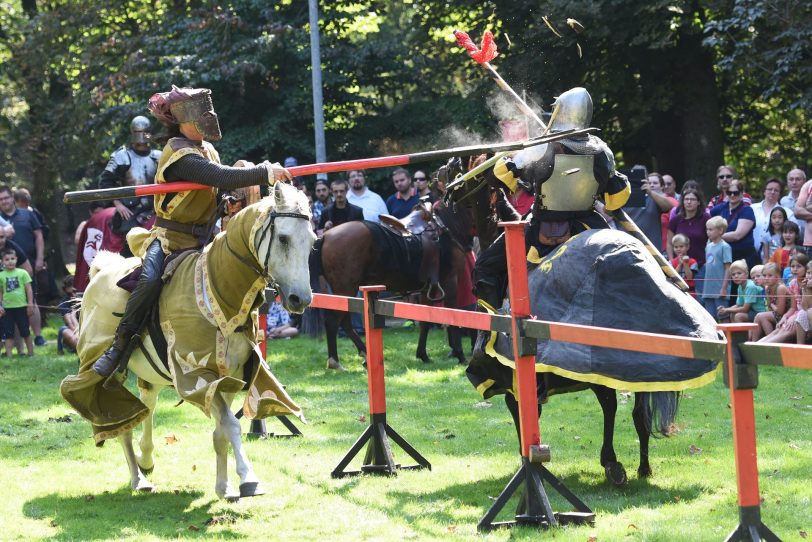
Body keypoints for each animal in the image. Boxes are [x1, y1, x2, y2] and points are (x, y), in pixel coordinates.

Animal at [61, 184, 316, 502]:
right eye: (283, 238)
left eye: (312, 242)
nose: (300, 299)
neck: (219, 293)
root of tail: (101, 271)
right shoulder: (197, 374)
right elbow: (231, 425)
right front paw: (249, 479)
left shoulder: (228, 379)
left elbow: (221, 432)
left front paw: (224, 487)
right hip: (104, 364)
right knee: (119, 417)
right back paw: (138, 479)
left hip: (152, 373)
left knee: (146, 405)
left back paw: (146, 461)